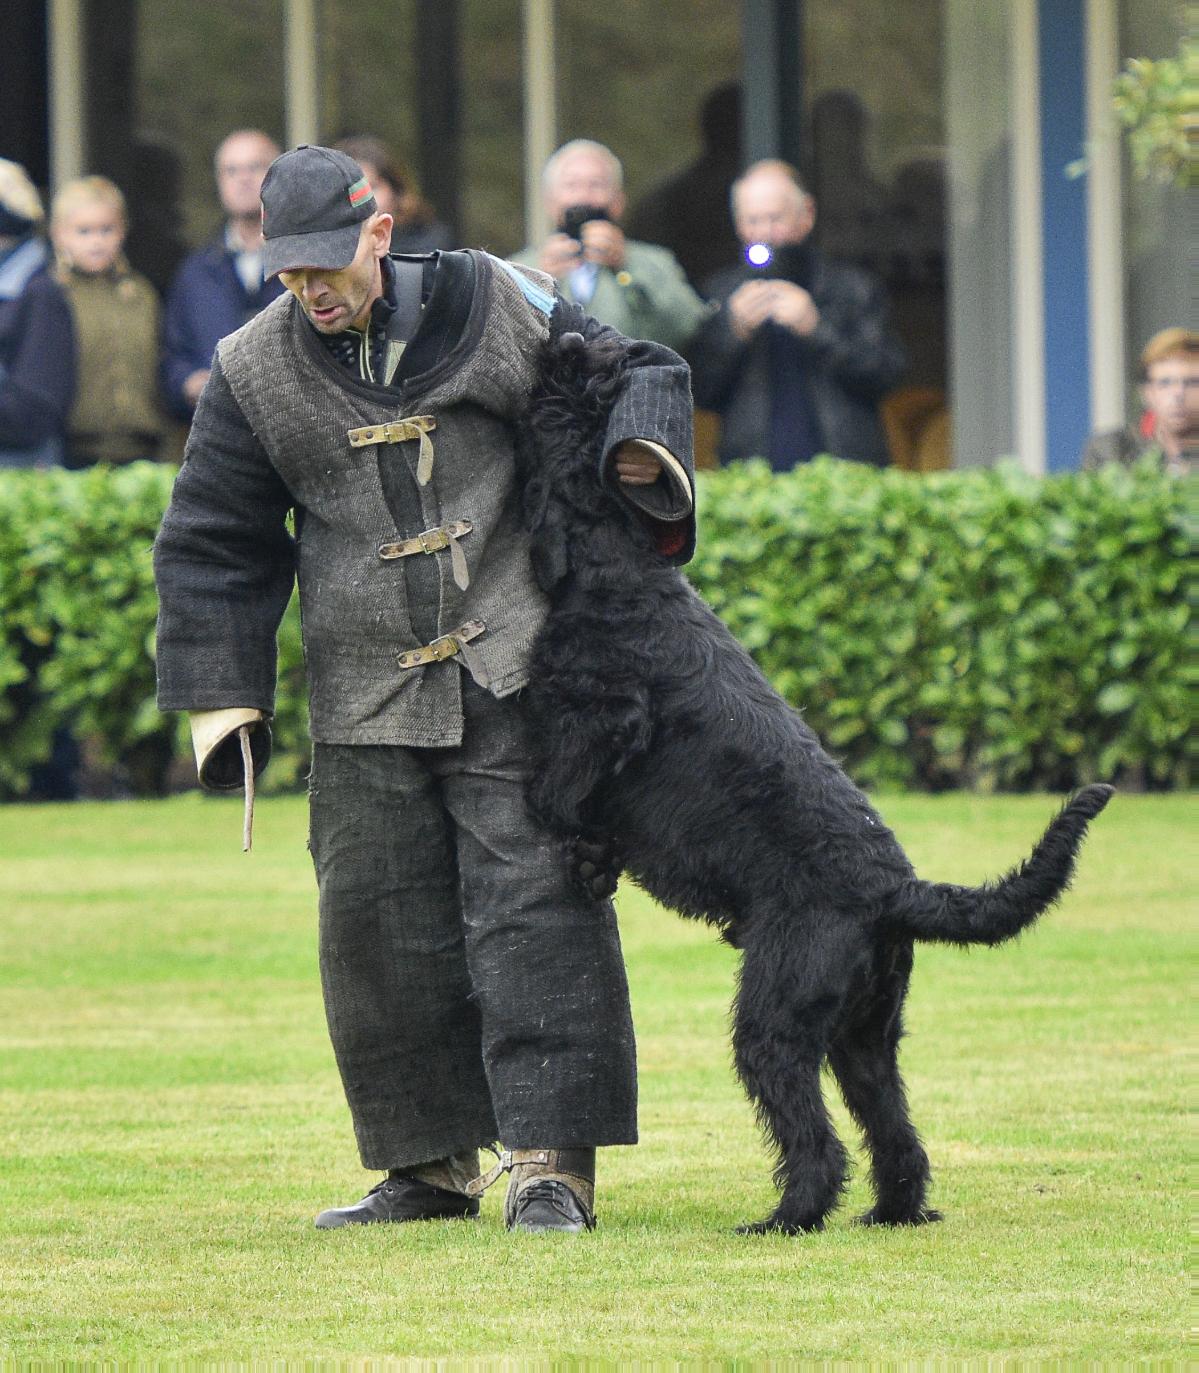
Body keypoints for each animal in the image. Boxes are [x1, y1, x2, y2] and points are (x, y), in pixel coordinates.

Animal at [513, 318, 1115, 1235]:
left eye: (576, 393)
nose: (573, 332)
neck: (619, 564)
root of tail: (895, 889)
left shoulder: (603, 718)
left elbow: (560, 782)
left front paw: (561, 825)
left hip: (778, 1018)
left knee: (816, 1136)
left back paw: (788, 1215)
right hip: (863, 1035)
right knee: (894, 1130)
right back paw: (894, 1210)